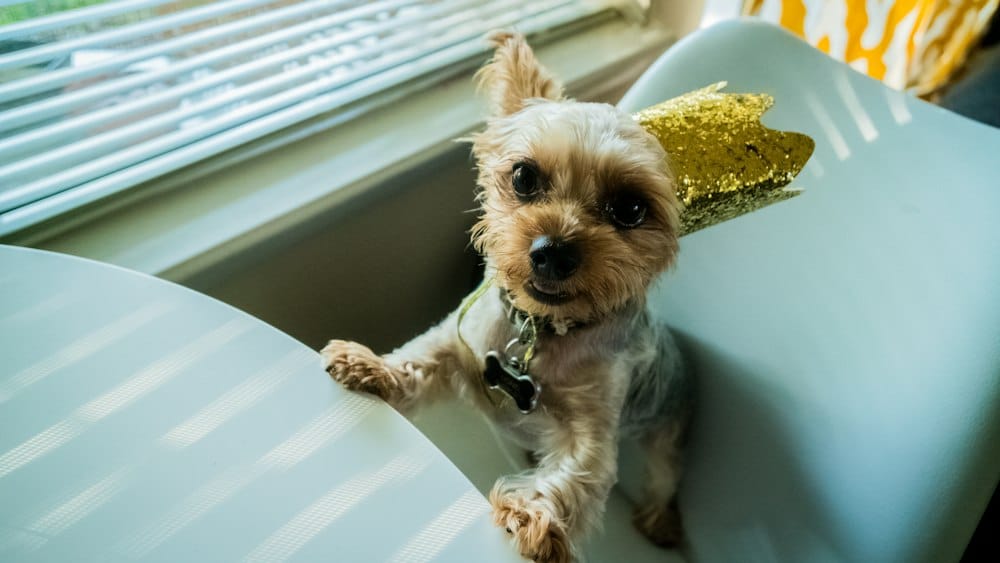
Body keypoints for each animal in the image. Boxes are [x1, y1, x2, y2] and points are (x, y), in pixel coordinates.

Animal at [324, 32, 692, 563]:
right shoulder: (460, 339)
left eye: (630, 208)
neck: (538, 328)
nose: (552, 252)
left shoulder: (594, 425)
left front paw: (534, 518)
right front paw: (370, 366)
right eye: (523, 177)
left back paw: (660, 521)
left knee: (664, 476)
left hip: (670, 426)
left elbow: (578, 474)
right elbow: (419, 356)